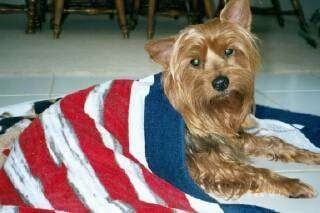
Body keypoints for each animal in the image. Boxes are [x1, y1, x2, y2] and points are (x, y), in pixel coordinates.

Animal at [145, 0, 320, 199]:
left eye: (229, 51)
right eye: (195, 62)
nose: (221, 82)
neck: (217, 110)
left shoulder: (232, 139)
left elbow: (274, 142)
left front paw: (311, 155)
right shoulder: (207, 164)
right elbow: (253, 171)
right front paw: (291, 184)